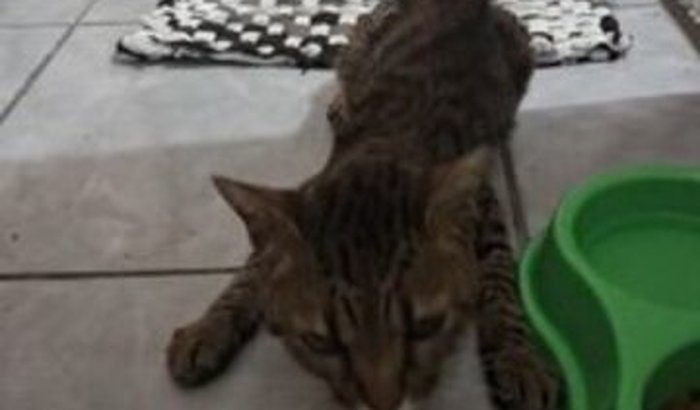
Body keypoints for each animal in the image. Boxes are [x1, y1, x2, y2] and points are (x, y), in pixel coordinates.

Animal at [166, 0, 559, 409]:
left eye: (425, 326)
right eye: (322, 343)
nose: (382, 402)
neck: (387, 148)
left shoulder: (486, 204)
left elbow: (500, 280)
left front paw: (518, 357)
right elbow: (253, 268)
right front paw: (210, 326)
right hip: (358, 44)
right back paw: (341, 103)